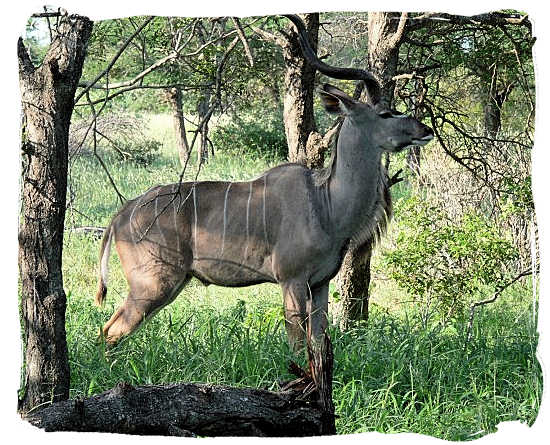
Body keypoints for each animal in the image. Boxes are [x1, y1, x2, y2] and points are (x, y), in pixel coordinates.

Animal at [96, 13, 436, 350]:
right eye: (386, 114)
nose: (425, 129)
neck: (325, 203)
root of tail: (121, 215)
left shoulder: (320, 284)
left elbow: (319, 343)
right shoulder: (292, 281)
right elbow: (298, 345)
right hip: (153, 284)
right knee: (110, 331)